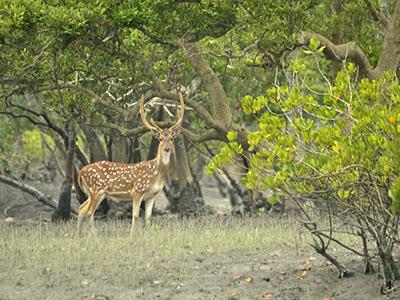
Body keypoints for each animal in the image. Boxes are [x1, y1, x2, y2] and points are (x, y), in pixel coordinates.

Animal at [76, 92, 184, 233]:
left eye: (171, 138)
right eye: (160, 138)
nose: (167, 148)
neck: (156, 174)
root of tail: (80, 172)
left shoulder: (152, 195)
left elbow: (148, 218)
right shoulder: (137, 191)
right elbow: (135, 215)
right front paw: (132, 235)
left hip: (95, 193)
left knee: (81, 208)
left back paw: (78, 234)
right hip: (96, 189)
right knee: (89, 212)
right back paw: (93, 235)